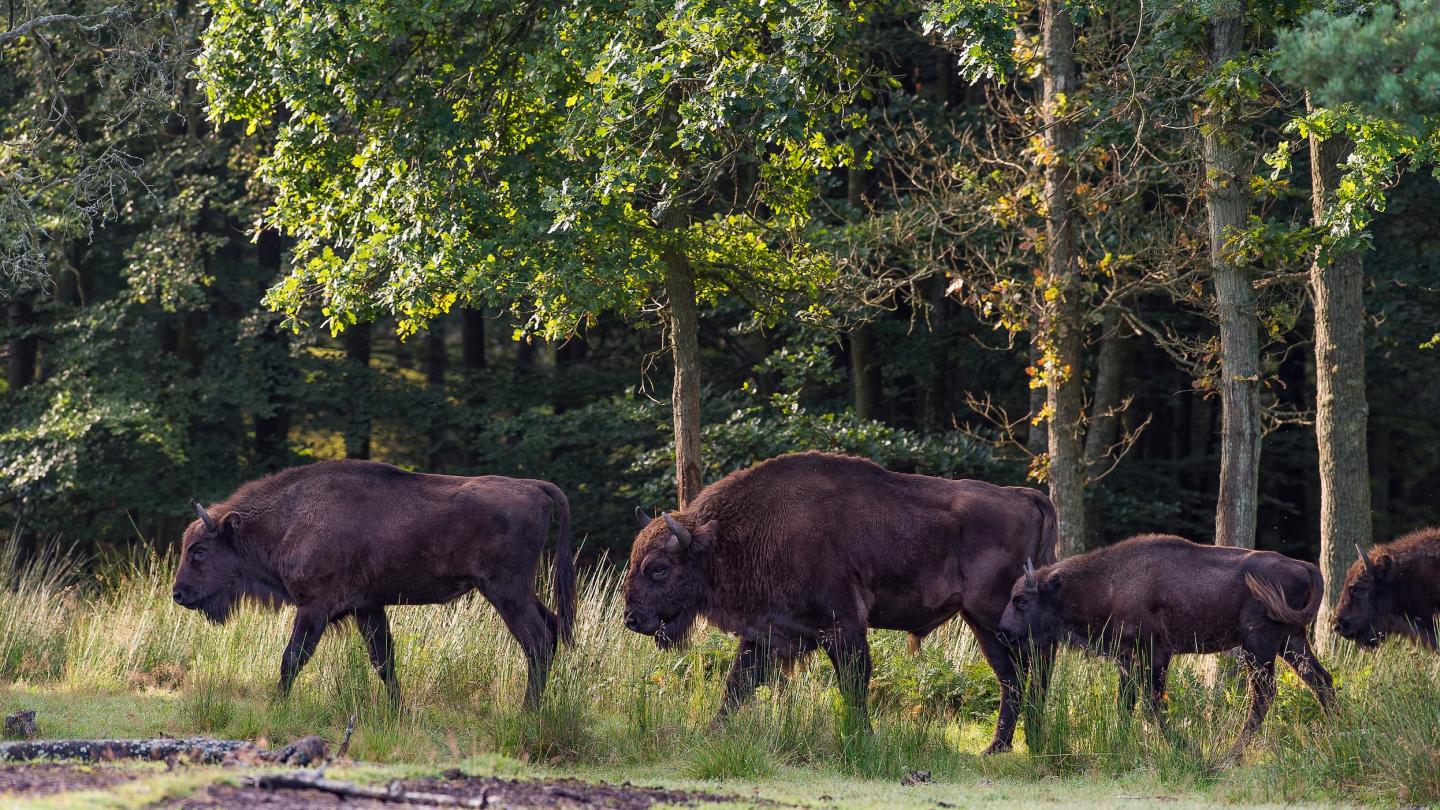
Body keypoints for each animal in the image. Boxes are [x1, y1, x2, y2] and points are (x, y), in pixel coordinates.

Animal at [173, 460, 575, 708]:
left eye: (199, 551)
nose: (179, 594)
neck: (290, 519)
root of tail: (534, 487)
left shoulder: (314, 607)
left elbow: (292, 658)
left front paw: (277, 706)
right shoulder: (368, 607)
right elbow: (384, 661)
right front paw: (398, 711)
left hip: (506, 591)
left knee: (538, 641)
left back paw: (527, 712)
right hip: (519, 591)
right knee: (552, 629)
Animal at [622, 451, 1058, 754]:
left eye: (658, 568)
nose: (632, 619)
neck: (729, 538)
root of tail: (1025, 497)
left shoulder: (843, 626)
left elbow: (854, 682)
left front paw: (863, 737)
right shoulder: (765, 631)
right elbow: (737, 684)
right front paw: (710, 734)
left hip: (996, 617)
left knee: (1031, 672)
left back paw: (1024, 742)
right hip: (983, 624)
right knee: (1013, 678)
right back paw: (1002, 747)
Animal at [998, 534, 1335, 757]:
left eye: (1021, 600)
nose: (1002, 632)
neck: (1112, 583)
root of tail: (1304, 566)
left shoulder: (1156, 654)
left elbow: (1152, 704)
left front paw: (1187, 748)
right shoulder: (1128, 659)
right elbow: (1126, 703)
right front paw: (1121, 744)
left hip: (1259, 646)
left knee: (1263, 695)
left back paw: (1231, 754)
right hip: (1291, 641)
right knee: (1321, 680)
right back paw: (1337, 732)